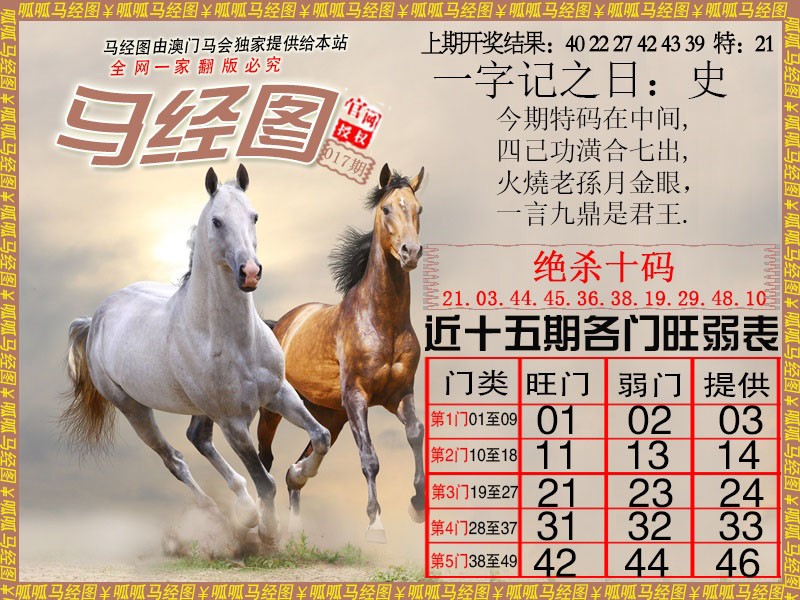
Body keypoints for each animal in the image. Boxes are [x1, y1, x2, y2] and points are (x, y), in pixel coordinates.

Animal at [63, 165, 331, 544]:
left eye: (254, 216)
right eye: (217, 221)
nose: (250, 272)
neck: (235, 341)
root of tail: (96, 317)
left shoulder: (279, 393)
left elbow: (320, 436)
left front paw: (298, 474)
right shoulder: (233, 421)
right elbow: (264, 480)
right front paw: (268, 530)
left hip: (200, 409)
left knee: (198, 438)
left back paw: (243, 510)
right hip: (134, 409)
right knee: (174, 458)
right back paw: (226, 515)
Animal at [256, 163, 426, 542]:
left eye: (418, 209)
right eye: (386, 209)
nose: (410, 252)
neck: (382, 321)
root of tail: (279, 324)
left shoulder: (399, 394)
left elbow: (415, 434)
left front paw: (417, 505)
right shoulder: (357, 397)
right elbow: (370, 458)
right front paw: (375, 524)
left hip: (330, 414)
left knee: (299, 463)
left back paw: (297, 509)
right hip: (274, 409)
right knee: (265, 459)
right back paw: (265, 524)